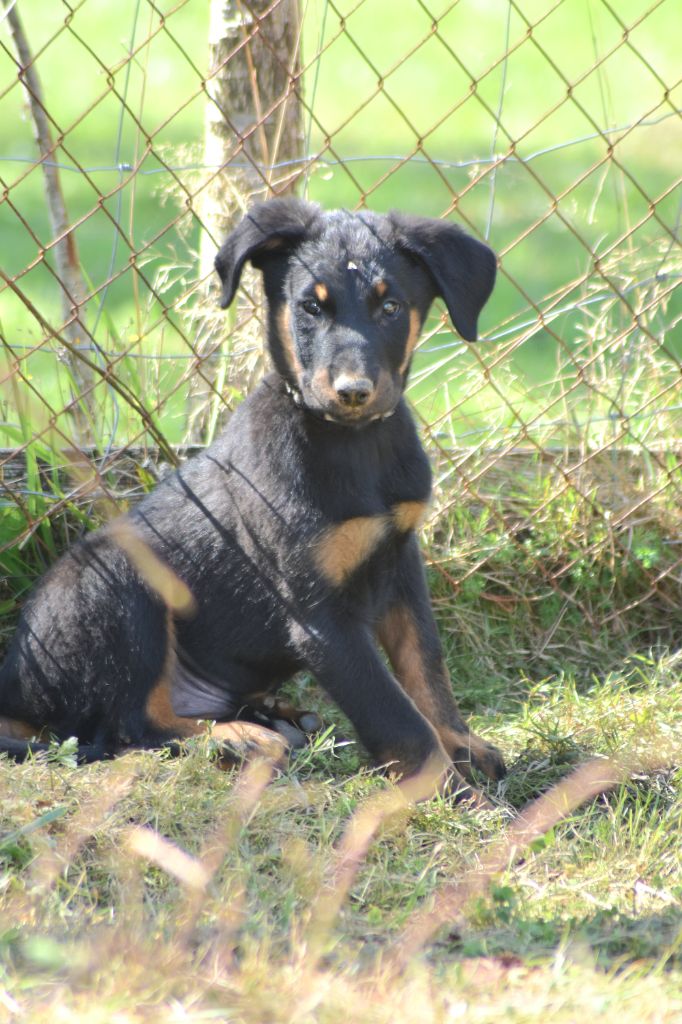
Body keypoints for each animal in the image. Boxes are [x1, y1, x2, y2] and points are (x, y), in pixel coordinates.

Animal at [0, 198, 504, 798]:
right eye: (310, 307)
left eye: (391, 307)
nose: (353, 392)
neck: (353, 444)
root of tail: (13, 690)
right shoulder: (319, 616)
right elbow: (397, 716)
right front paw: (454, 791)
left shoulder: (400, 562)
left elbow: (425, 669)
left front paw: (465, 745)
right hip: (119, 580)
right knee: (129, 727)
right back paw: (241, 737)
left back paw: (280, 718)